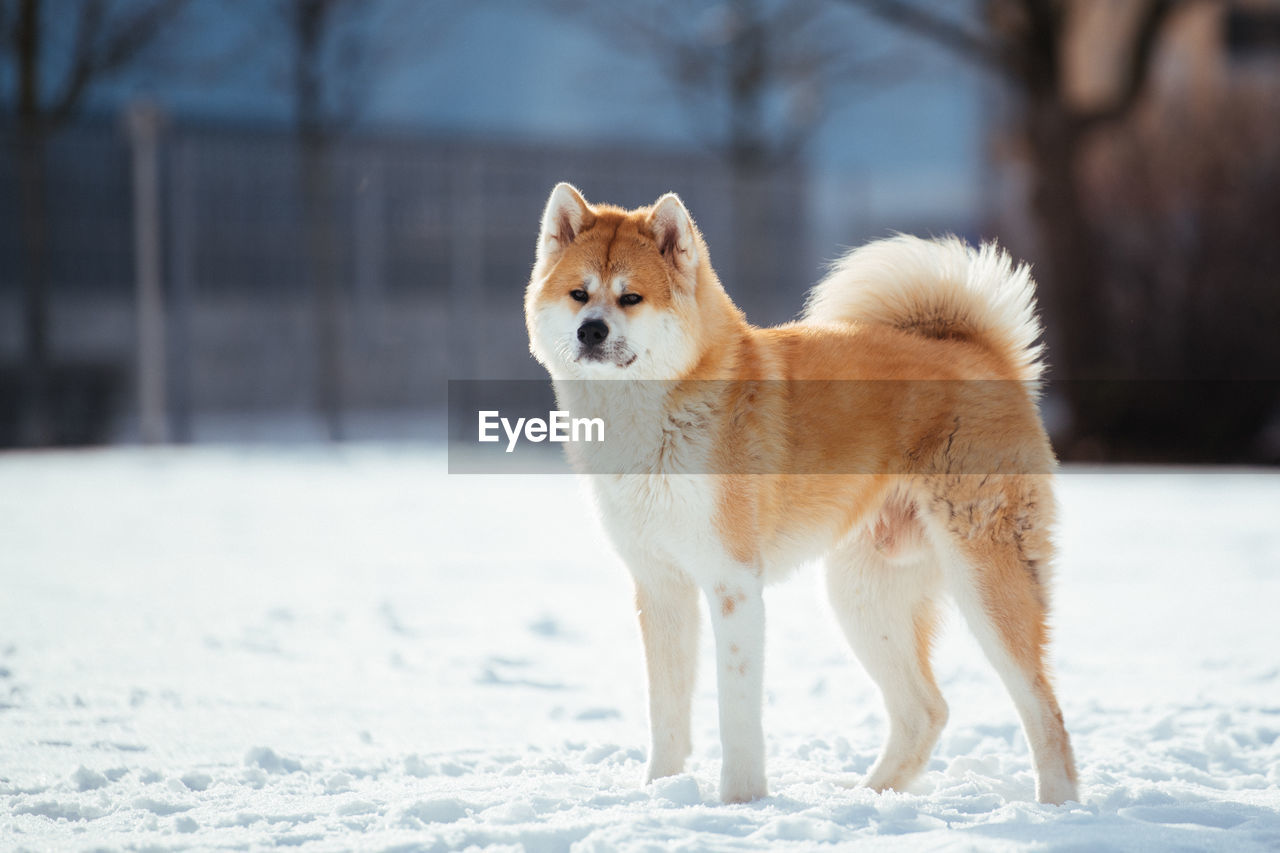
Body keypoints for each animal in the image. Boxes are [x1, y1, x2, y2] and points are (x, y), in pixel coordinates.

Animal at [524, 180, 1075, 804]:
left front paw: (739, 801)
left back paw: (1057, 808)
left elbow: (736, 710)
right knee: (926, 711)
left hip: (984, 578)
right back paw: (869, 797)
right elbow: (666, 710)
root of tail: (981, 351)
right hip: (862, 592)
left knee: (1044, 709)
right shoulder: (660, 586)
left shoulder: (733, 583)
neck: (655, 418)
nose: (591, 330)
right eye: (579, 293)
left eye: (631, 298)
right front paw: (661, 791)